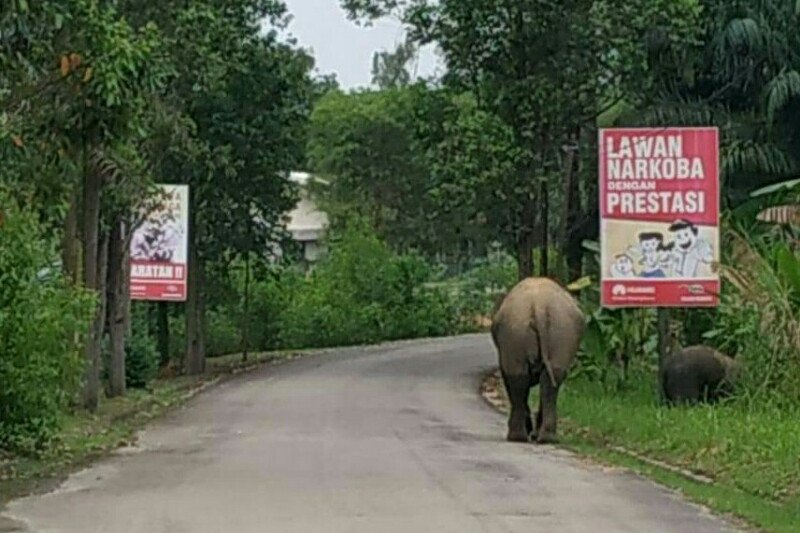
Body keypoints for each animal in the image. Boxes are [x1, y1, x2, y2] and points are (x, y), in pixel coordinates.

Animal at [490, 276, 584, 442]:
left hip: (516, 333)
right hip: (561, 332)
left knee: (519, 378)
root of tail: (540, 305)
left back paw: (519, 437)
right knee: (549, 379)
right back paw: (545, 438)